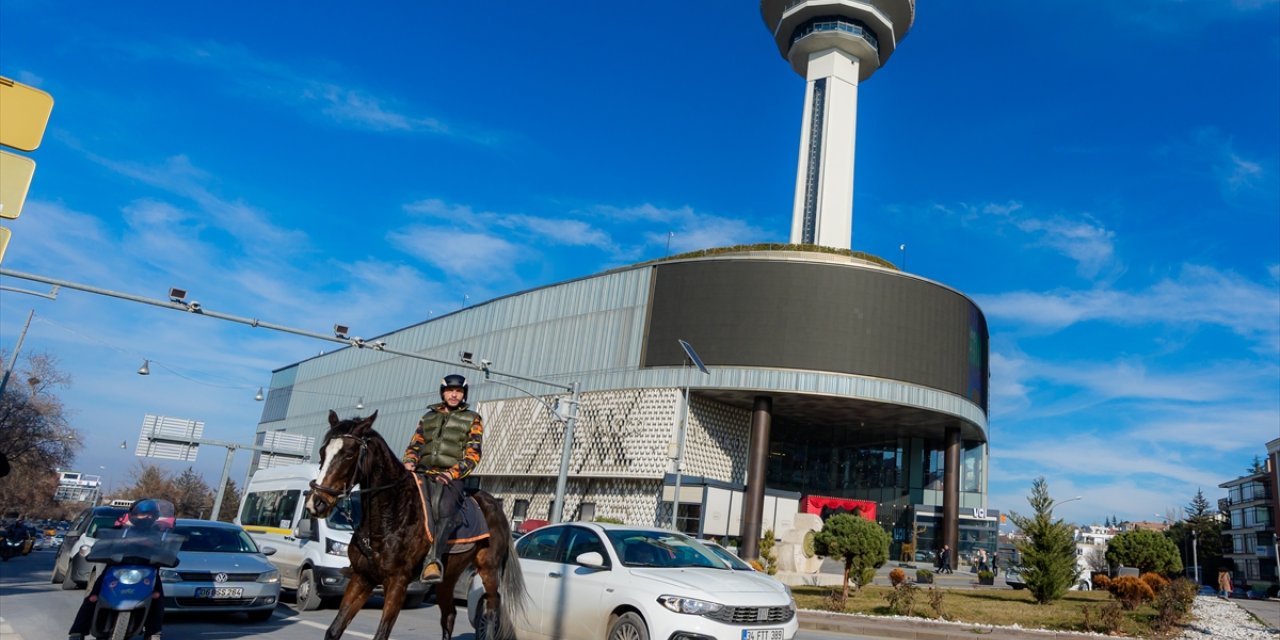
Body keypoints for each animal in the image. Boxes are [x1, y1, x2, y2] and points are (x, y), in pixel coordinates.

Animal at [304, 409, 524, 640]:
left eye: (348, 454)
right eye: (322, 452)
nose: (316, 502)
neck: (391, 514)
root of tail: (495, 505)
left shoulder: (397, 583)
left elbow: (381, 635)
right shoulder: (362, 578)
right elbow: (334, 630)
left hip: (488, 569)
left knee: (491, 608)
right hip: (447, 578)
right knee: (450, 614)